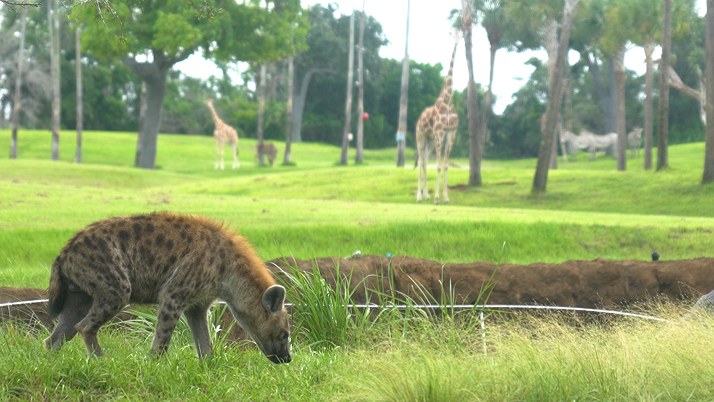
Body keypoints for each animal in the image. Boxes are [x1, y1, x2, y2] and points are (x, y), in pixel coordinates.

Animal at [415, 33, 460, 203]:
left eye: (461, 33)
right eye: (455, 33)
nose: (458, 39)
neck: (447, 101)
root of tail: (419, 119)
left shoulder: (451, 133)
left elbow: (445, 165)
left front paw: (445, 197)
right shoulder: (440, 132)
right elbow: (439, 165)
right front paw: (436, 198)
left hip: (430, 141)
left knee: (425, 161)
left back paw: (425, 195)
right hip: (420, 137)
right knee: (421, 161)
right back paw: (419, 196)